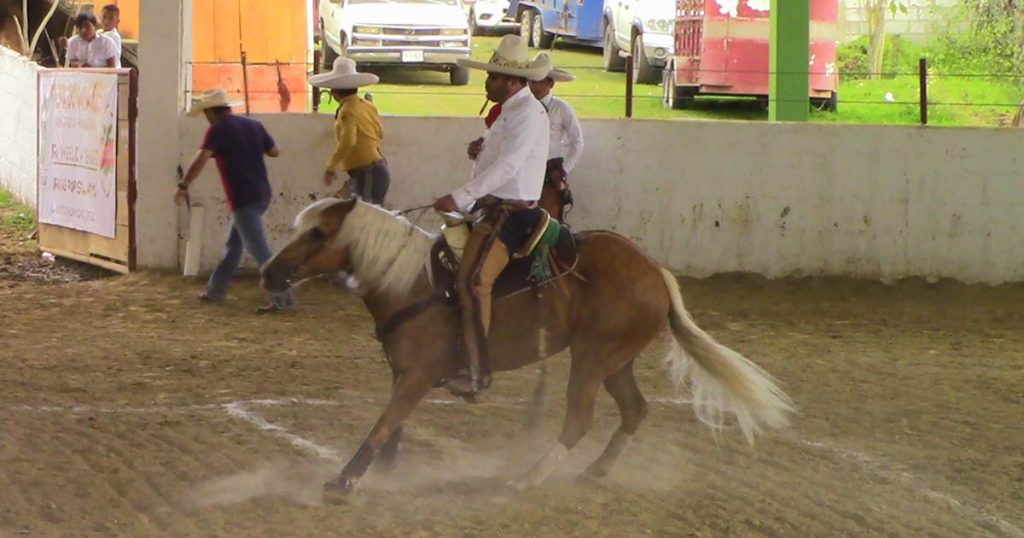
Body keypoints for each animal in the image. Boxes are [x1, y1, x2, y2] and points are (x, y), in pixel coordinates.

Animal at [260, 196, 794, 495]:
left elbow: (383, 424)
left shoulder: (418, 376)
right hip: (614, 360)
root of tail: (655, 272)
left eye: (320, 232)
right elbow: (392, 428)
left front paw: (344, 481)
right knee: (634, 410)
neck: (412, 283)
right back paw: (594, 472)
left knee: (578, 419)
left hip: (592, 359)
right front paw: (385, 473)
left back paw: (527, 478)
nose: (269, 271)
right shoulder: (401, 373)